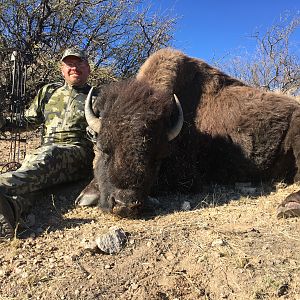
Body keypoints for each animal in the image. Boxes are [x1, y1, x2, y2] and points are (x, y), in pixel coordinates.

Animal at [76, 47, 300, 218]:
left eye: (157, 157)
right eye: (103, 148)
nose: (125, 204)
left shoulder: (189, 175)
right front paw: (86, 195)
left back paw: (288, 206)